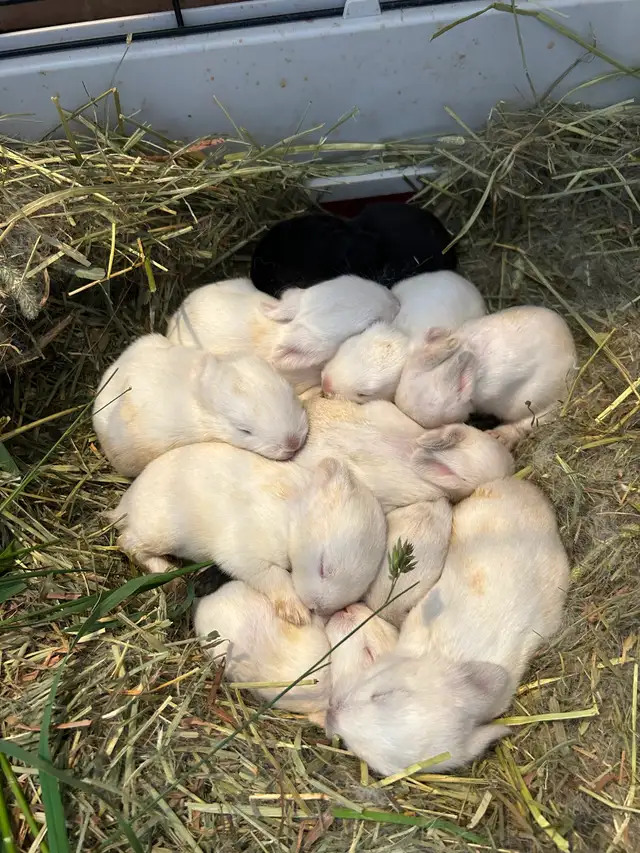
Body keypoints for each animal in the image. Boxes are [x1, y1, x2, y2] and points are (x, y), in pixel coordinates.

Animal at [107, 445, 386, 625]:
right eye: (323, 566)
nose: (317, 608)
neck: (291, 516)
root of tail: (124, 506)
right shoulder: (246, 553)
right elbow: (274, 576)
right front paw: (296, 613)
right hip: (162, 533)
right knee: (127, 542)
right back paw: (169, 574)